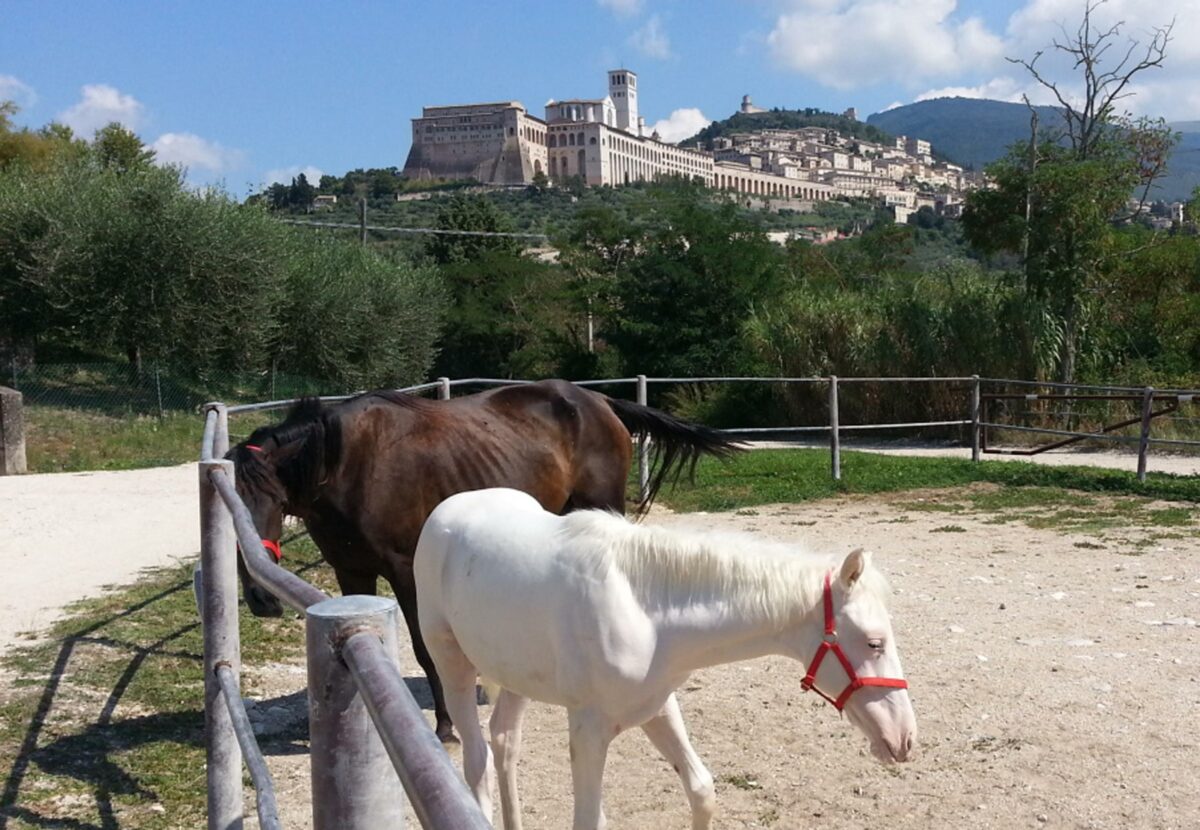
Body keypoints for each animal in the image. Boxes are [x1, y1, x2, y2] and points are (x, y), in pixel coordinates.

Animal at [225, 379, 739, 743]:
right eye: (229, 504)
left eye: (274, 500)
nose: (259, 598)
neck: (349, 463)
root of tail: (599, 401)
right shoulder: (351, 571)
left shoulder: (405, 571)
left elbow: (423, 649)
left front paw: (445, 725)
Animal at [417, 486, 912, 830]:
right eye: (874, 643)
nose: (905, 738)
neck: (645, 609)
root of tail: (446, 509)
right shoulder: (588, 730)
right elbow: (590, 819)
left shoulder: (656, 707)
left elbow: (702, 790)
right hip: (452, 664)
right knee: (477, 760)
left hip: (517, 676)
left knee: (504, 741)